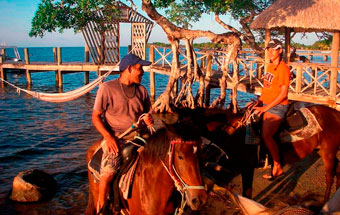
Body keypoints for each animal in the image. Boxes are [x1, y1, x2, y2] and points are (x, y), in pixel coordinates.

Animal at [177, 105, 340, 204]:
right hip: (323, 151)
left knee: (330, 177)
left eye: (185, 127)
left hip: (328, 152)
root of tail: (335, 114)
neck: (236, 132)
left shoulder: (247, 168)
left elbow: (247, 194)